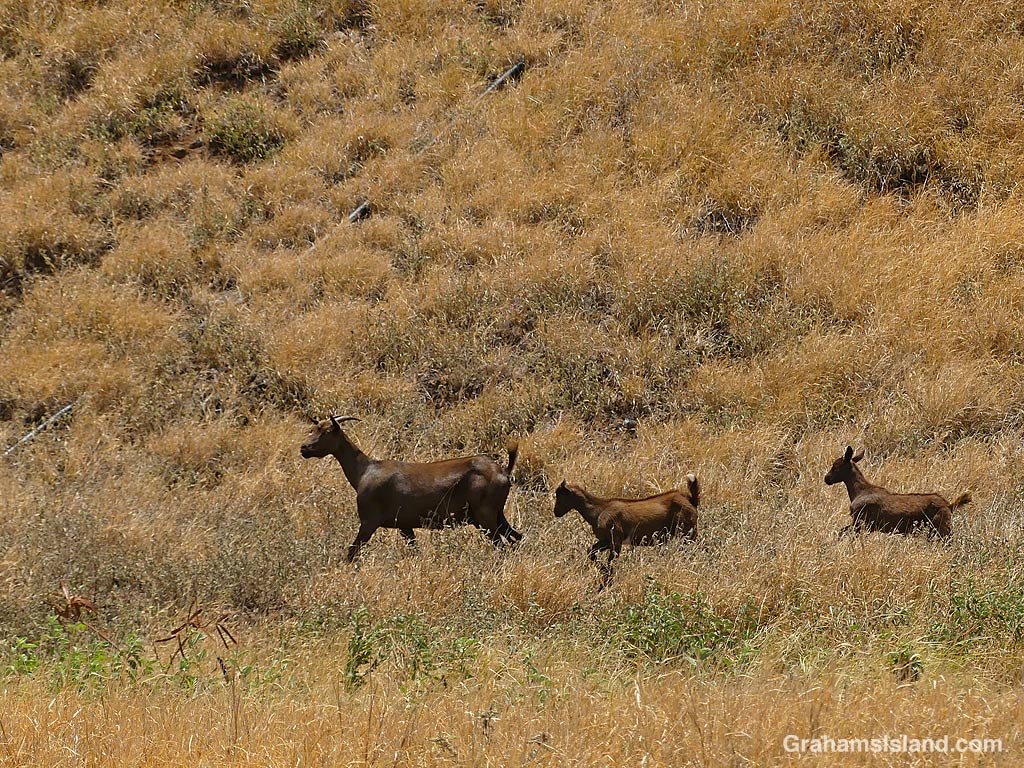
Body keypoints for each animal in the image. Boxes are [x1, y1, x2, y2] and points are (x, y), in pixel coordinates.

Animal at [300, 416, 522, 561]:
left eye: (327, 431)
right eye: (314, 428)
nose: (304, 448)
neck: (365, 470)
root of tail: (503, 471)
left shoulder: (369, 522)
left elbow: (351, 552)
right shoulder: (405, 526)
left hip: (485, 517)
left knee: (503, 544)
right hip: (496, 516)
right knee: (516, 538)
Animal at [553, 476, 699, 577]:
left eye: (560, 496)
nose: (556, 512)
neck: (598, 509)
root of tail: (689, 499)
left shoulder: (615, 541)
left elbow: (610, 563)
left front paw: (607, 581)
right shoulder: (606, 540)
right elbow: (591, 551)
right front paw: (603, 572)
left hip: (687, 533)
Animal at [824, 446, 971, 538]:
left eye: (836, 466)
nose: (827, 478)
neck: (859, 490)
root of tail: (949, 506)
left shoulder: (860, 523)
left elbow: (841, 532)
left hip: (941, 529)